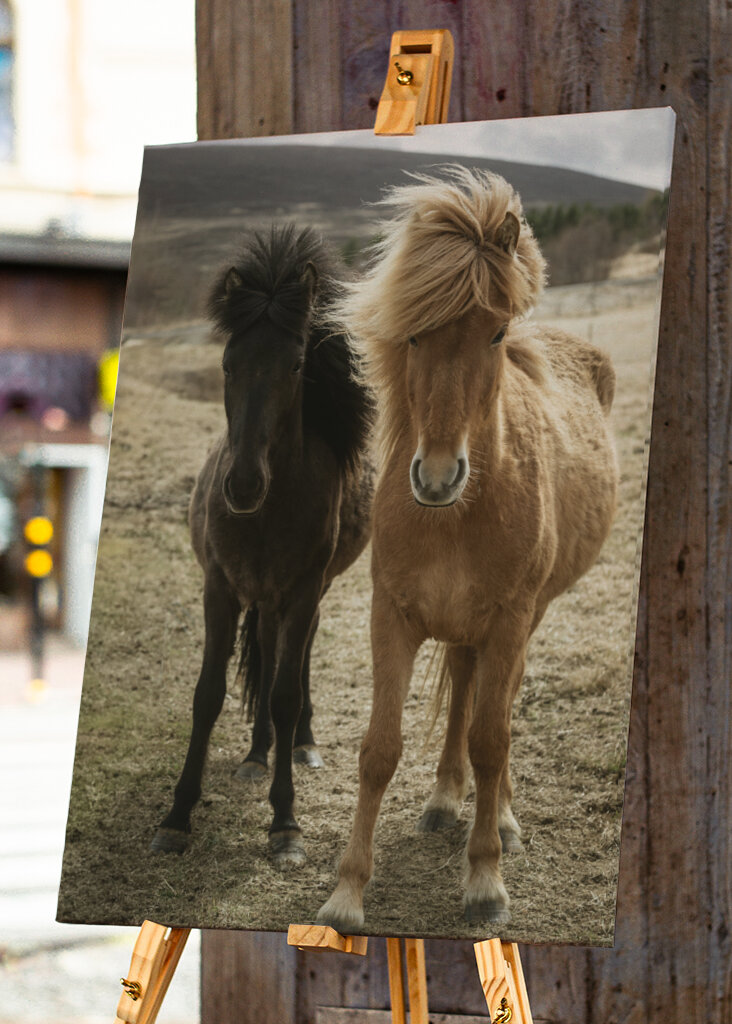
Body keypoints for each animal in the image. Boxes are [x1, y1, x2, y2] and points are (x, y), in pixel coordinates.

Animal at [150, 225, 374, 866]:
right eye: (228, 363)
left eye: (297, 363)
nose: (244, 484)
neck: (267, 510)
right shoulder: (220, 589)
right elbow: (208, 695)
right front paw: (177, 815)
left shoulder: (301, 592)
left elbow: (285, 694)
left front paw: (285, 824)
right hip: (264, 599)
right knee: (270, 655)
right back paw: (255, 753)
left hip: (307, 596)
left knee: (294, 666)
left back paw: (300, 743)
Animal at [317, 167, 619, 929]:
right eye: (414, 336)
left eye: (496, 333)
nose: (437, 476)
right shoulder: (391, 618)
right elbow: (379, 749)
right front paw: (346, 892)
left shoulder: (509, 619)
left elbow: (492, 737)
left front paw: (485, 878)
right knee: (464, 687)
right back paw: (444, 798)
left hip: (529, 616)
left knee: (498, 706)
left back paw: (500, 816)